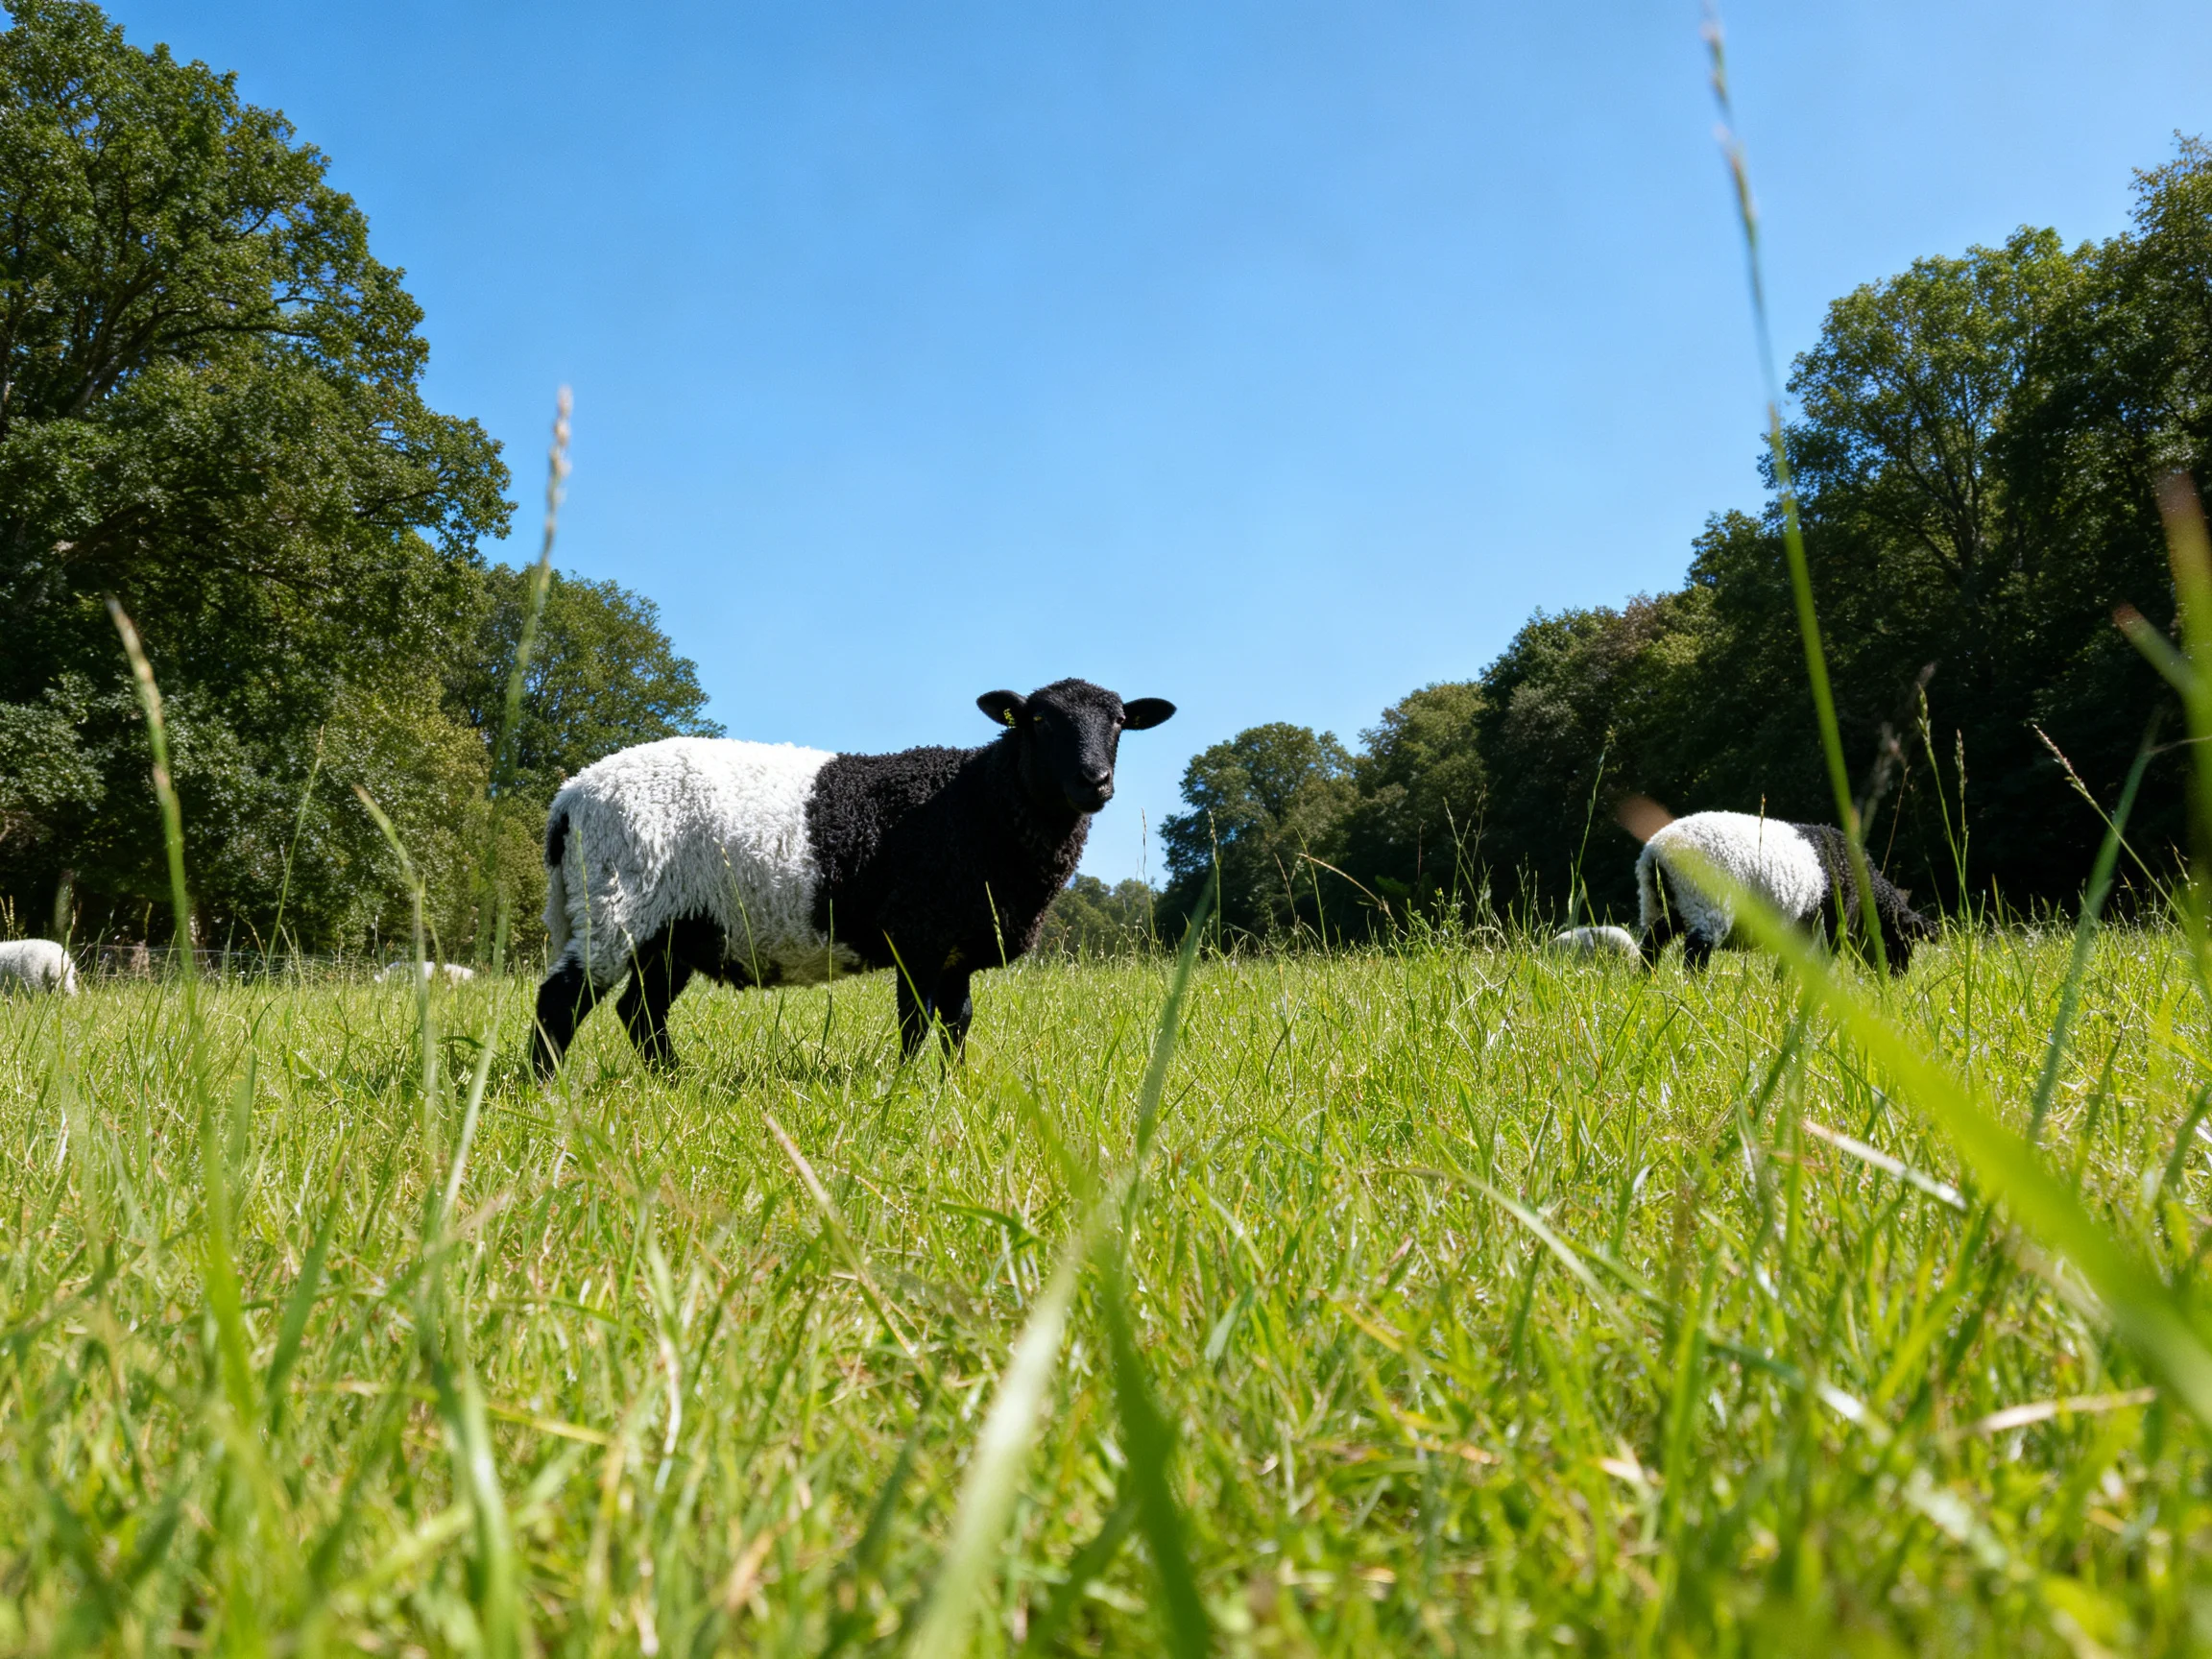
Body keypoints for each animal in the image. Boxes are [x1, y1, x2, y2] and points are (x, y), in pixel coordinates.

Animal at [530, 677, 1176, 1074]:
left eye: (1120, 722)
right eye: (1038, 719)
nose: (1095, 781)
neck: (979, 804)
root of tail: (571, 796)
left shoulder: (958, 945)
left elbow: (958, 1022)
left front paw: (952, 1088)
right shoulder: (918, 933)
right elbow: (915, 1022)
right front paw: (904, 1089)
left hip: (676, 928)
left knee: (640, 1012)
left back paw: (674, 1082)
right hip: (615, 901)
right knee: (561, 1000)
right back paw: (543, 1092)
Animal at [1636, 810, 1933, 974]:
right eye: (1901, 941)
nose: (1896, 978)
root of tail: (1657, 853)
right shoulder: (1829, 930)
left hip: (1663, 904)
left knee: (1651, 945)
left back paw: (1645, 982)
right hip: (1706, 902)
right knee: (1695, 954)